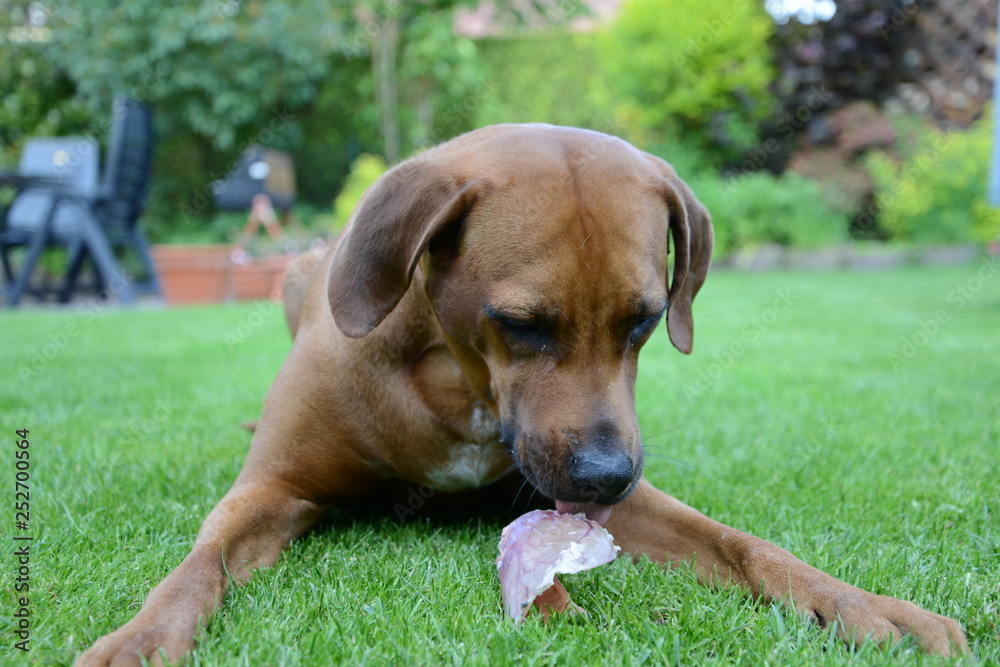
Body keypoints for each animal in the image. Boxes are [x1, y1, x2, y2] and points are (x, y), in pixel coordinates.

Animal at [78, 124, 968, 664]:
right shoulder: (272, 489)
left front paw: (864, 605)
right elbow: (199, 563)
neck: (455, 379)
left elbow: (747, 544)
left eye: (646, 319)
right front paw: (141, 635)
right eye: (521, 324)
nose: (609, 476)